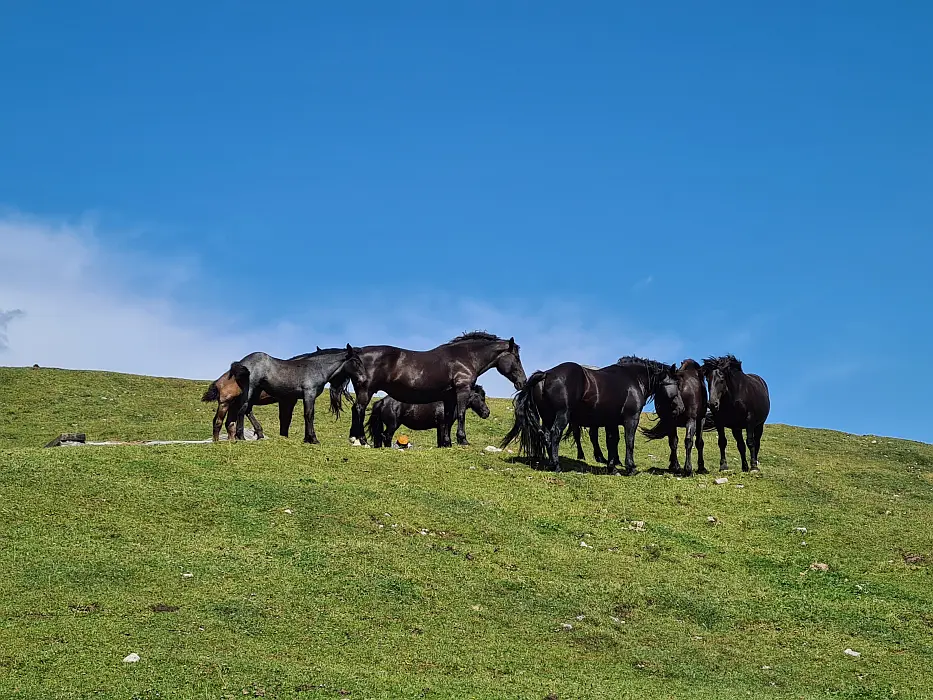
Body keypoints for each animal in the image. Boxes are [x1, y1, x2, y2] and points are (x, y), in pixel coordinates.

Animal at [229, 344, 364, 442]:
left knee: (247, 409)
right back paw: (241, 437)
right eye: (356, 361)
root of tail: (241, 362)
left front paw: (306, 439)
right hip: (250, 389)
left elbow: (303, 415)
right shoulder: (309, 394)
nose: (363, 379)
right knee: (242, 409)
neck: (318, 368)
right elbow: (309, 414)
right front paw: (313, 439)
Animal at [332, 330, 528, 446]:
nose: (523, 382)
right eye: (516, 358)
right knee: (359, 409)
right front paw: (463, 440)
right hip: (366, 390)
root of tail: (356, 353)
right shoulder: (462, 390)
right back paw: (361, 439)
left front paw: (447, 442)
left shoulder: (449, 396)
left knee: (355, 409)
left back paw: (354, 438)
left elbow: (448, 419)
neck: (465, 358)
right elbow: (461, 414)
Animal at [502, 356, 676, 476]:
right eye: (675, 383)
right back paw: (556, 465)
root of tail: (546, 374)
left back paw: (551, 462)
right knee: (554, 435)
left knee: (545, 435)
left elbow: (612, 442)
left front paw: (612, 467)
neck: (633, 379)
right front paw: (630, 467)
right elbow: (629, 442)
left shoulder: (611, 422)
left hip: (548, 417)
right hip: (562, 415)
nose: (677, 405)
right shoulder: (631, 419)